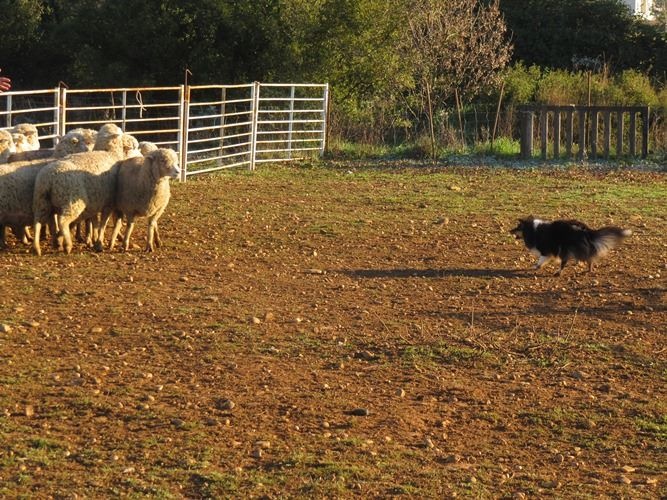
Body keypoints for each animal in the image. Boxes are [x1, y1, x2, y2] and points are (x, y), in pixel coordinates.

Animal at [32, 121, 136, 254]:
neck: (109, 153)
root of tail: (50, 178)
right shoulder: (108, 203)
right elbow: (102, 223)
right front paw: (98, 242)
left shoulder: (95, 203)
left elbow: (93, 222)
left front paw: (92, 239)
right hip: (72, 203)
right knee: (62, 221)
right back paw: (67, 245)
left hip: (42, 200)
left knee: (38, 222)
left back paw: (39, 246)